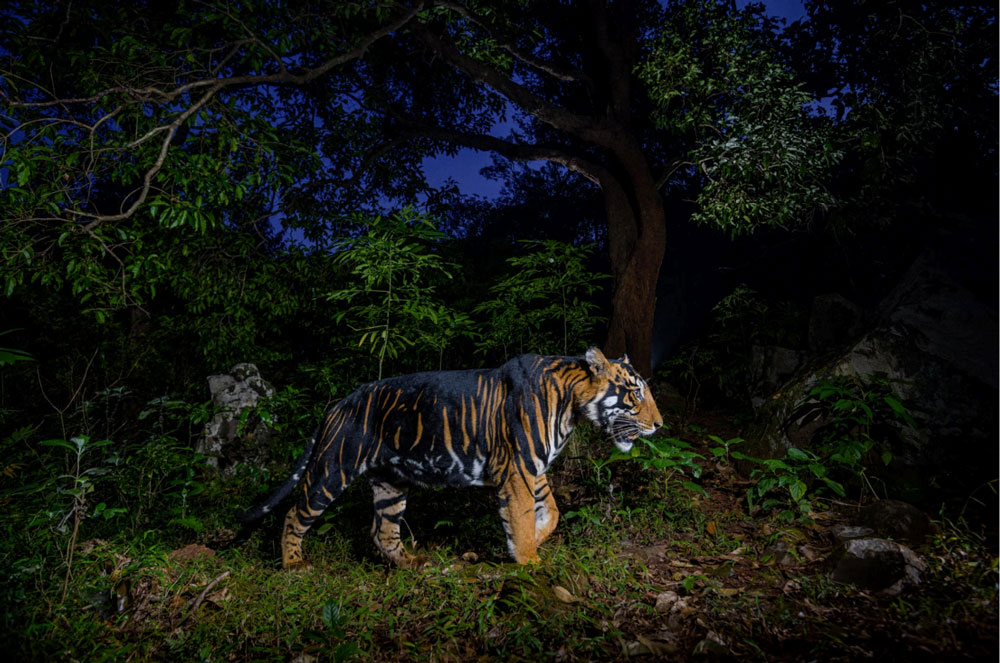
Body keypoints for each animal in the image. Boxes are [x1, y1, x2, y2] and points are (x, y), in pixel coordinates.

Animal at [237, 347, 662, 570]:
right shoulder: (519, 469)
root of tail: (340, 402)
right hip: (332, 468)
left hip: (391, 484)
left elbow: (552, 511)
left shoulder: (532, 468)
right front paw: (528, 559)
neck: (572, 407)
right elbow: (523, 516)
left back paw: (413, 563)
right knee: (295, 513)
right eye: (635, 393)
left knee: (382, 531)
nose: (660, 425)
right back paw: (293, 564)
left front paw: (534, 541)